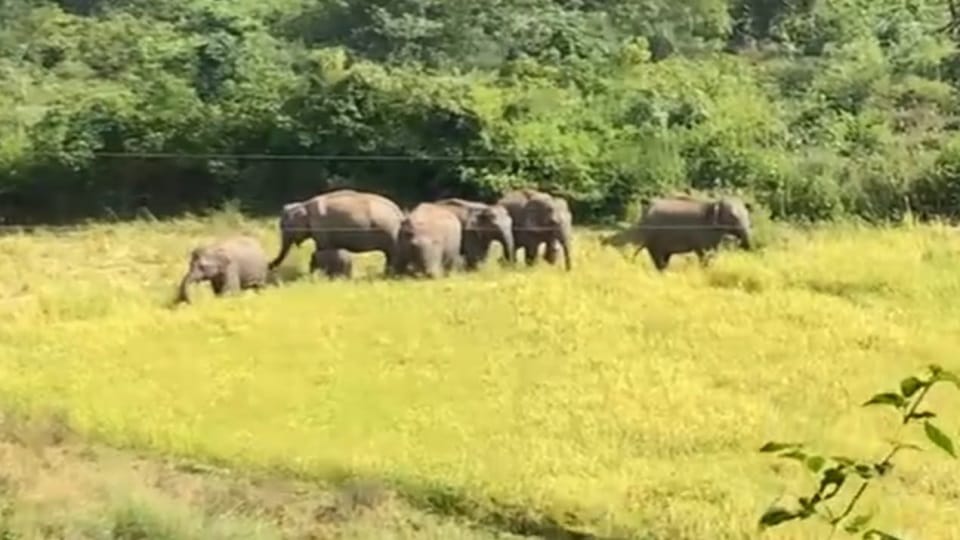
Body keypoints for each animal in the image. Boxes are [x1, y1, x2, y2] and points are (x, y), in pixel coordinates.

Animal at [268, 189, 404, 276]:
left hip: (390, 232)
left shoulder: (320, 226)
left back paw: (389, 275)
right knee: (389, 255)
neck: (304, 204)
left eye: (284, 226)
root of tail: (400, 212)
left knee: (393, 254)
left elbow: (322, 249)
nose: (269, 265)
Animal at [601, 195, 753, 271]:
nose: (744, 246)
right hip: (654, 234)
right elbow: (704, 254)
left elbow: (712, 253)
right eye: (733, 217)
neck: (714, 203)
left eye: (747, 214)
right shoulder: (701, 233)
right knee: (658, 257)